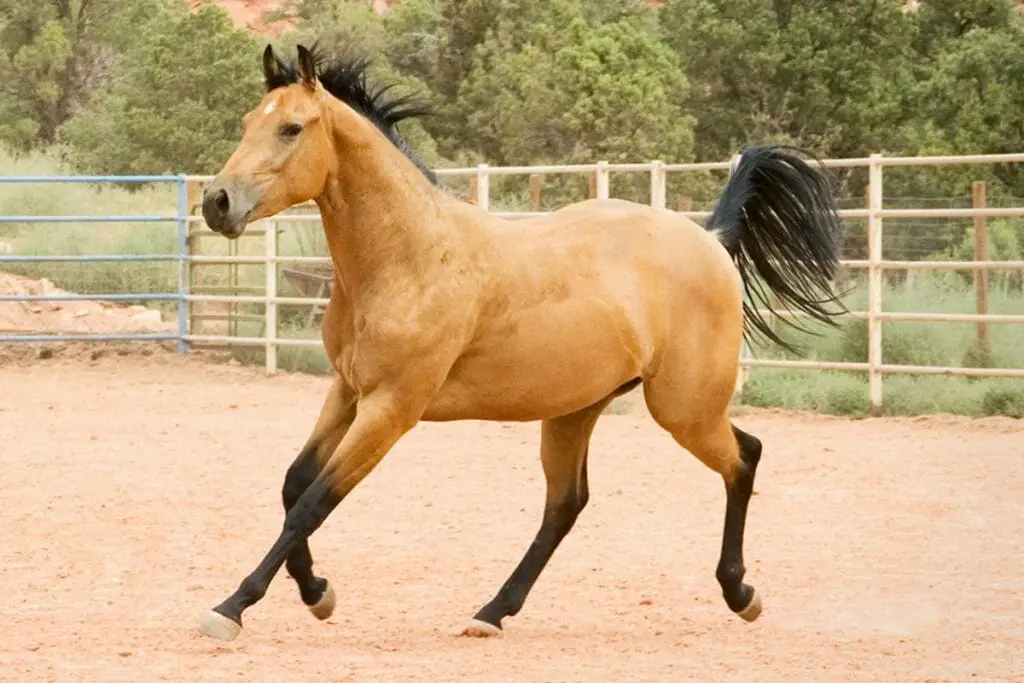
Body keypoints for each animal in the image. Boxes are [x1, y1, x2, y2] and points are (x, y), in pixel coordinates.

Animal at [195, 42, 843, 643]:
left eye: (291, 128)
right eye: (249, 122)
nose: (216, 202)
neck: (410, 258)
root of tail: (711, 239)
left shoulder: (391, 409)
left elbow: (315, 501)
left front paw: (233, 607)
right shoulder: (348, 392)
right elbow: (293, 484)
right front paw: (317, 593)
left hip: (683, 408)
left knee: (744, 458)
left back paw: (740, 593)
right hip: (577, 409)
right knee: (567, 504)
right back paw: (492, 612)